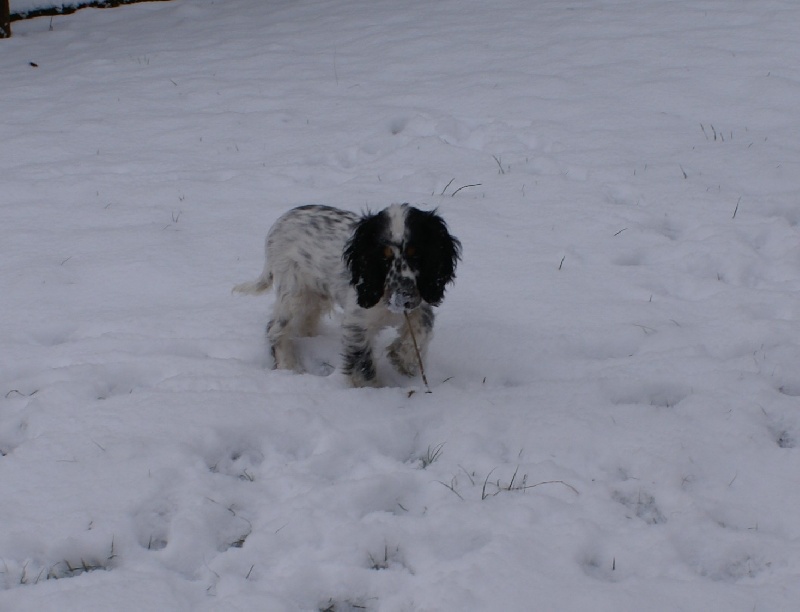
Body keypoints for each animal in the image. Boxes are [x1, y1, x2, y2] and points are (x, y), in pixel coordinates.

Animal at [234, 204, 462, 388]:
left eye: (417, 254)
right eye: (383, 257)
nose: (403, 297)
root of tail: (280, 221)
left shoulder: (420, 304)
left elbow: (421, 329)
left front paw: (403, 360)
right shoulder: (357, 323)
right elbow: (362, 364)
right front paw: (373, 391)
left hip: (316, 294)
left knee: (305, 321)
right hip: (295, 291)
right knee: (275, 328)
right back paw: (289, 366)